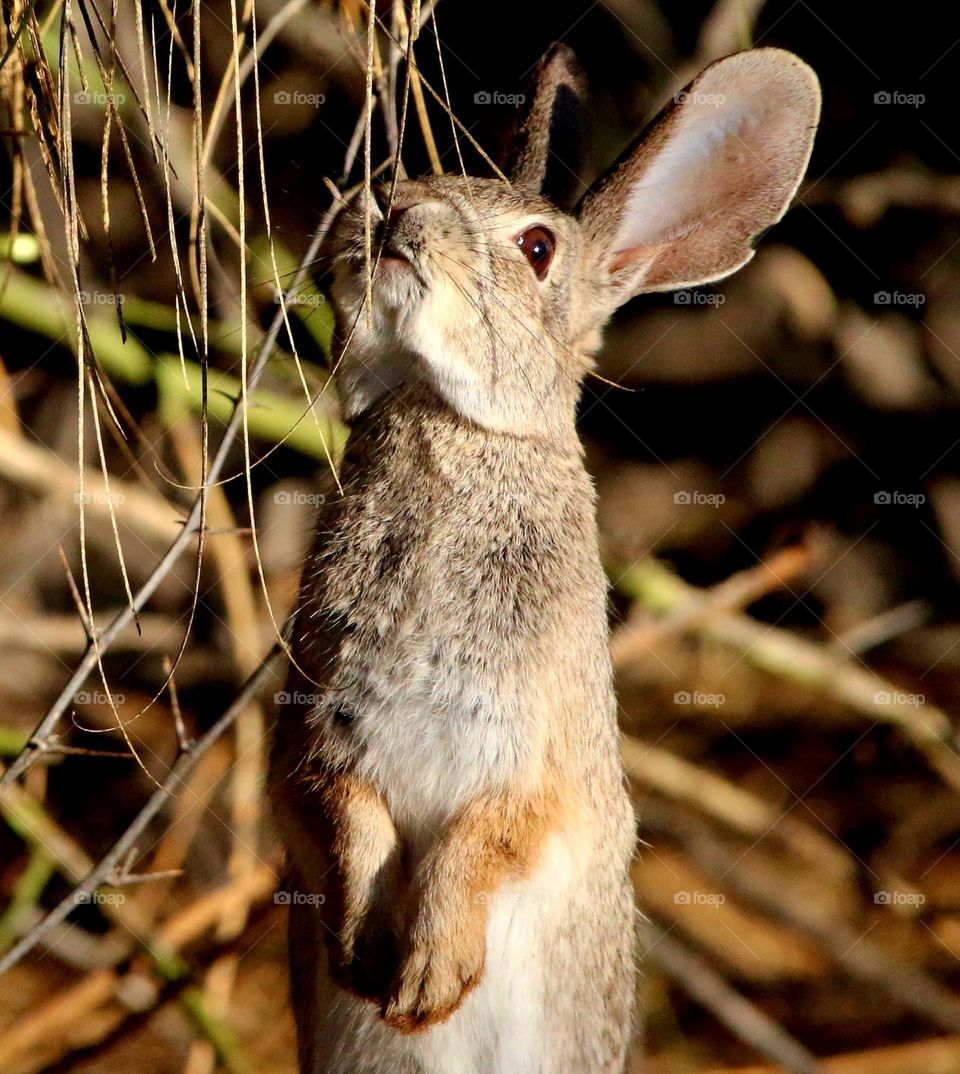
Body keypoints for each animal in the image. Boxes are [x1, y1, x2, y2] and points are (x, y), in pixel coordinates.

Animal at [269, 43, 820, 1074]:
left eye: (535, 249)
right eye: (404, 180)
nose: (393, 208)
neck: (451, 423)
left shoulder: (537, 757)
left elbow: (492, 838)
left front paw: (425, 984)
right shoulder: (315, 734)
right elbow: (339, 810)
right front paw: (368, 962)